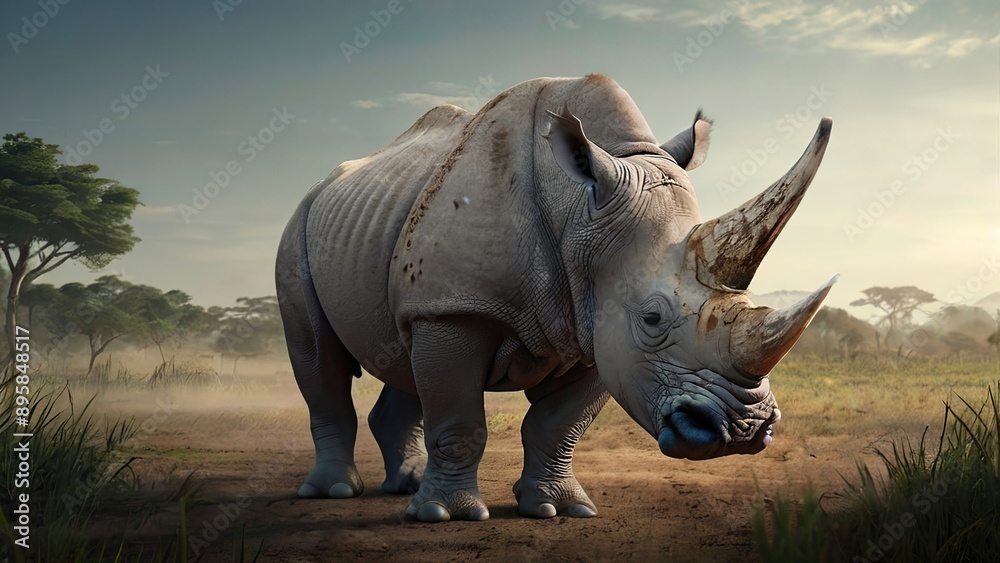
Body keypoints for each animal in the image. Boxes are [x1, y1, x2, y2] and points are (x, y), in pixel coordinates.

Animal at [275, 74, 835, 522]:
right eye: (652, 318)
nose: (746, 431)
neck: (580, 212)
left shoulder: (597, 326)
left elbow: (558, 425)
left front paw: (558, 509)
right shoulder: (458, 308)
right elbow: (459, 420)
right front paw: (446, 516)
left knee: (402, 355)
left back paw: (406, 486)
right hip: (300, 227)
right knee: (319, 359)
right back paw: (338, 491)